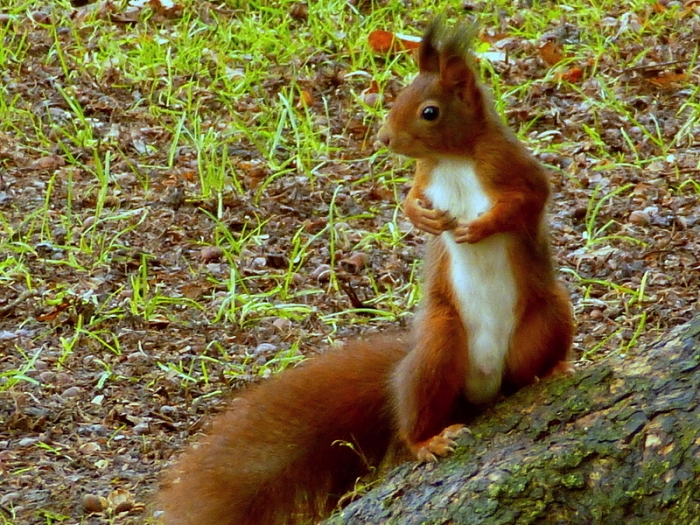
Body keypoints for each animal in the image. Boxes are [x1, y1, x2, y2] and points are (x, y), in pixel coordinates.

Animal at [157, 16, 574, 525]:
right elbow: (411, 199)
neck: (454, 159)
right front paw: (421, 216)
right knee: (415, 413)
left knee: (527, 369)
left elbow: (532, 197)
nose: (384, 140)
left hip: (548, 313)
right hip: (439, 345)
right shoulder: (425, 176)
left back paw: (553, 371)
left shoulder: (515, 166)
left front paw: (481, 225)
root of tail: (482, 386)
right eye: (395, 98)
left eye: (429, 112)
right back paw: (429, 440)